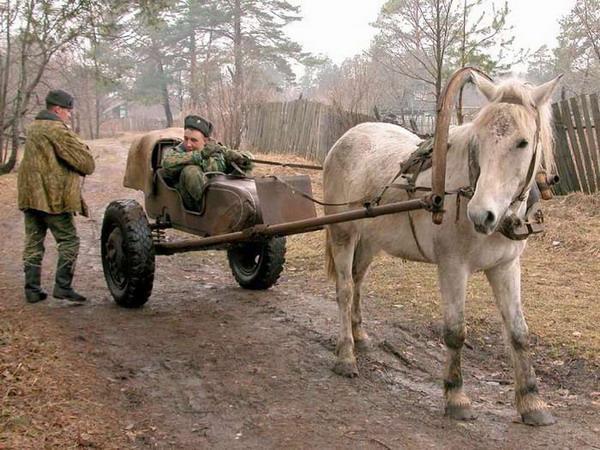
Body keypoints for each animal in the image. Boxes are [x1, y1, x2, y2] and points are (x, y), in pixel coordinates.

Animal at [324, 73, 564, 426]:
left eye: (522, 143)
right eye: (479, 140)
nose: (481, 214)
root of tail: (347, 137)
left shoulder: (506, 267)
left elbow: (518, 332)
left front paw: (532, 402)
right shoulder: (452, 267)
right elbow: (455, 331)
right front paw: (456, 396)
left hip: (369, 241)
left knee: (357, 282)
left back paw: (360, 336)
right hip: (343, 232)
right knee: (343, 289)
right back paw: (345, 355)